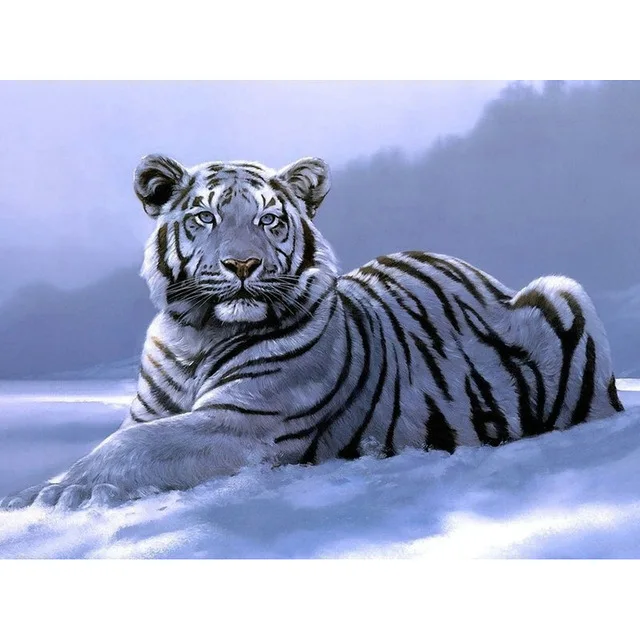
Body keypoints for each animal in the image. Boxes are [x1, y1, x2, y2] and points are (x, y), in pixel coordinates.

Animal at [1, 154, 624, 511]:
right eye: (204, 217)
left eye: (269, 220)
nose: (242, 265)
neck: (196, 335)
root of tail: (482, 274)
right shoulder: (152, 410)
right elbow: (125, 437)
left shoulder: (244, 421)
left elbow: (130, 446)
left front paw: (51, 492)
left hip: (564, 291)